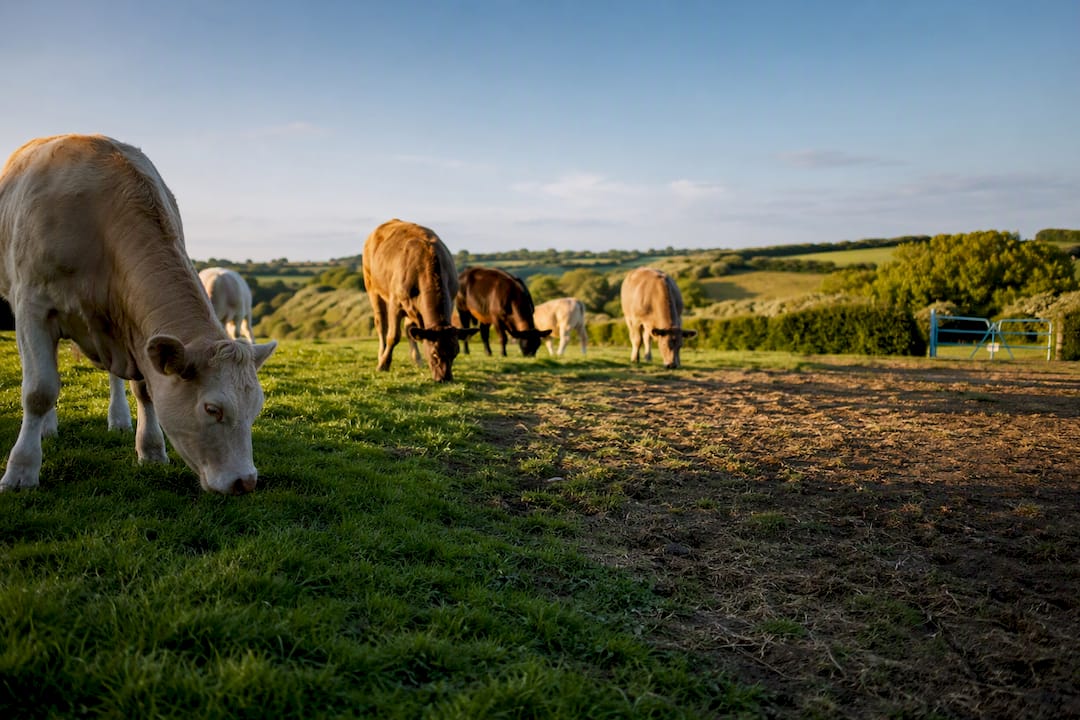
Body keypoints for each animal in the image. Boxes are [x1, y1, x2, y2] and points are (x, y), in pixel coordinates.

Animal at [0, 134, 277, 494]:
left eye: (256, 408)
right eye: (212, 409)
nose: (245, 481)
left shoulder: (133, 328)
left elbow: (145, 391)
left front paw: (151, 449)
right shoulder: (32, 306)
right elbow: (39, 390)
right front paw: (21, 470)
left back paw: (117, 418)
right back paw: (47, 428)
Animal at [362, 219, 477, 382]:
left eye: (455, 353)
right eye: (435, 353)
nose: (445, 378)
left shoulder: (450, 300)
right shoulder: (396, 303)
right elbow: (393, 336)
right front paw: (383, 365)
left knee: (409, 328)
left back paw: (417, 359)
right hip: (372, 287)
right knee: (381, 325)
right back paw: (381, 355)